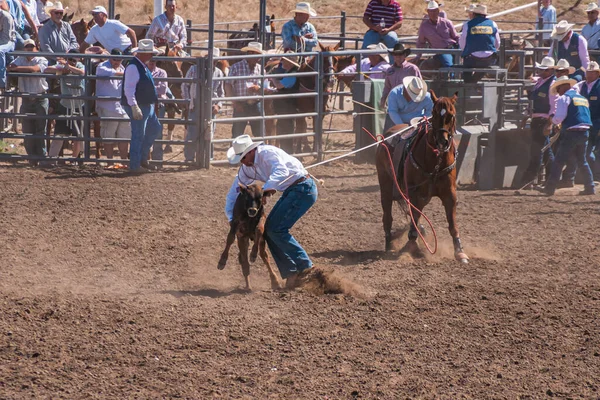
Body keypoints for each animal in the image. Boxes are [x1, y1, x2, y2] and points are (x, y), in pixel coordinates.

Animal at [376, 92, 468, 264]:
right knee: (388, 216)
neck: (436, 162)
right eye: (434, 114)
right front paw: (410, 247)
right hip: (386, 186)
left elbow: (452, 224)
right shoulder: (413, 192)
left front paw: (460, 252)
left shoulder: (450, 194)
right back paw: (389, 244)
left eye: (451, 115)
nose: (442, 141)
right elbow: (414, 217)